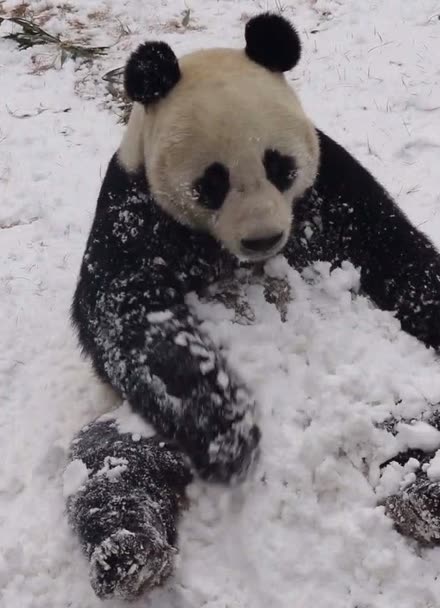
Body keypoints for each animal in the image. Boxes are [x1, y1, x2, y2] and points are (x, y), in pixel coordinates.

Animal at [67, 11, 440, 600]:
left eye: (279, 166)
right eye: (211, 183)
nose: (263, 239)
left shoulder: (333, 185)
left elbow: (396, 255)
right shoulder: (133, 207)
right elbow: (125, 312)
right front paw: (229, 433)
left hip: (402, 390)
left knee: (414, 430)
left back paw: (425, 495)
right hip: (138, 425)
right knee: (114, 468)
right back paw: (129, 553)